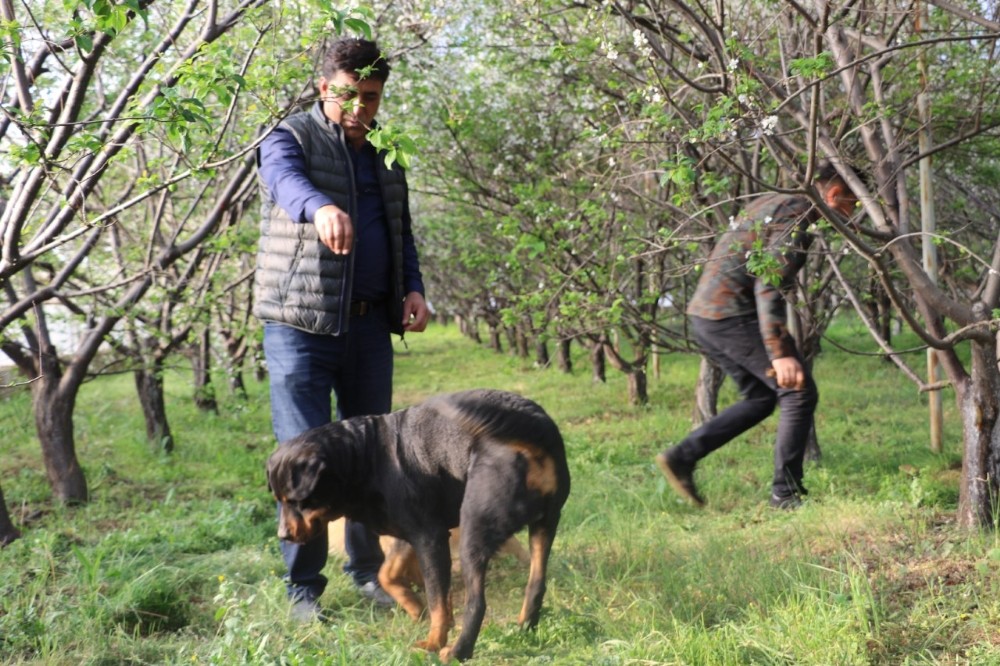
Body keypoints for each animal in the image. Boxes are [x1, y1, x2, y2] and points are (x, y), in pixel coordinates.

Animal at [266, 386, 572, 660]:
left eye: (300, 500)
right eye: (279, 499)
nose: (283, 535)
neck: (363, 456)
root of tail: (530, 428)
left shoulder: (428, 535)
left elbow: (432, 595)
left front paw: (433, 639)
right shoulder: (412, 533)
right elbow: (401, 579)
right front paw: (417, 609)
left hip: (473, 531)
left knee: (477, 603)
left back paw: (457, 652)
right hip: (545, 525)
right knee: (536, 584)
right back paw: (524, 629)